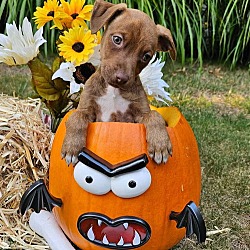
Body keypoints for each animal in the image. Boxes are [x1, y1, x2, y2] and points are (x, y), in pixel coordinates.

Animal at [61, 0, 177, 166]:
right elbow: (76, 117)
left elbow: (154, 115)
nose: (121, 78)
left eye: (146, 56)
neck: (113, 91)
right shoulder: (86, 109)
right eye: (117, 39)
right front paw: (72, 147)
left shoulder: (137, 116)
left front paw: (160, 143)